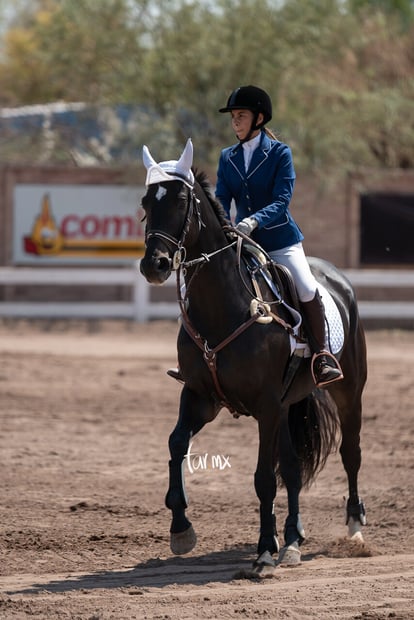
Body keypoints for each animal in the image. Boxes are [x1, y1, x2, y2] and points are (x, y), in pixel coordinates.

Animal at [139, 138, 366, 572]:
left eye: (181, 200)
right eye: (145, 201)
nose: (153, 265)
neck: (223, 306)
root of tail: (337, 277)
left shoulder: (265, 406)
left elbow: (263, 477)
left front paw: (263, 551)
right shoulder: (202, 396)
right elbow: (176, 444)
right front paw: (181, 529)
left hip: (347, 393)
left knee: (350, 452)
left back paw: (355, 526)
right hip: (288, 406)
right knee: (292, 470)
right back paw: (292, 540)